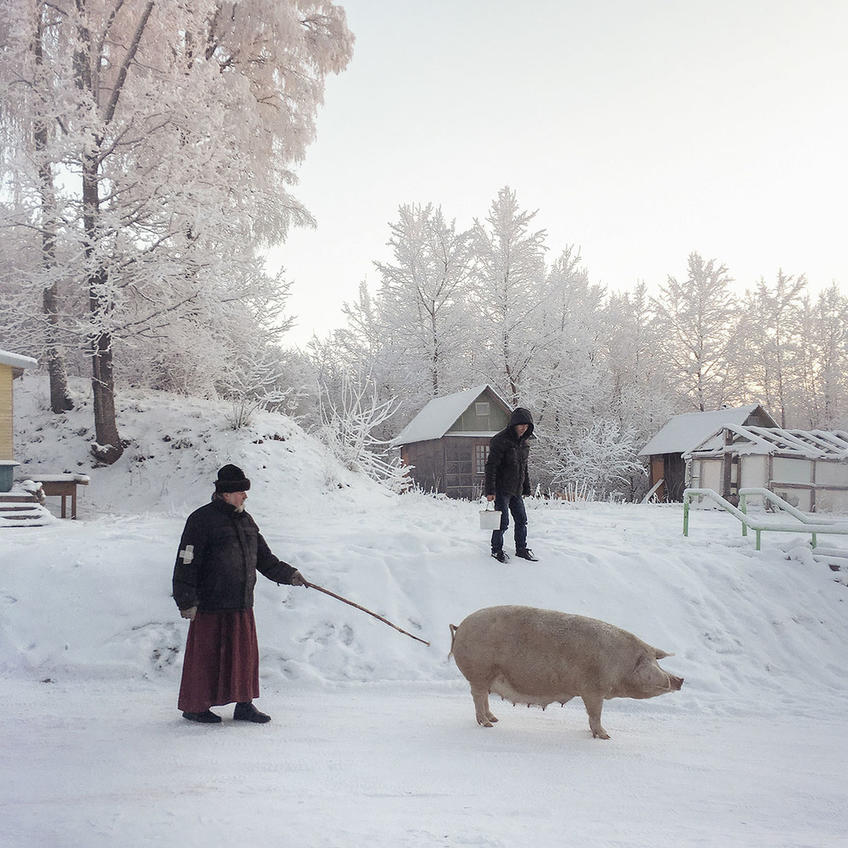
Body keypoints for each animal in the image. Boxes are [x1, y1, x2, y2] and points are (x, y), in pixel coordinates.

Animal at [450, 608, 684, 740]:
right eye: (651, 661)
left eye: (657, 660)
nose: (680, 679)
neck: (621, 665)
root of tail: (460, 626)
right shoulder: (593, 690)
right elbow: (595, 714)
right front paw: (606, 737)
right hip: (479, 672)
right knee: (478, 698)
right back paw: (487, 724)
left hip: (485, 676)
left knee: (484, 699)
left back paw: (495, 719)